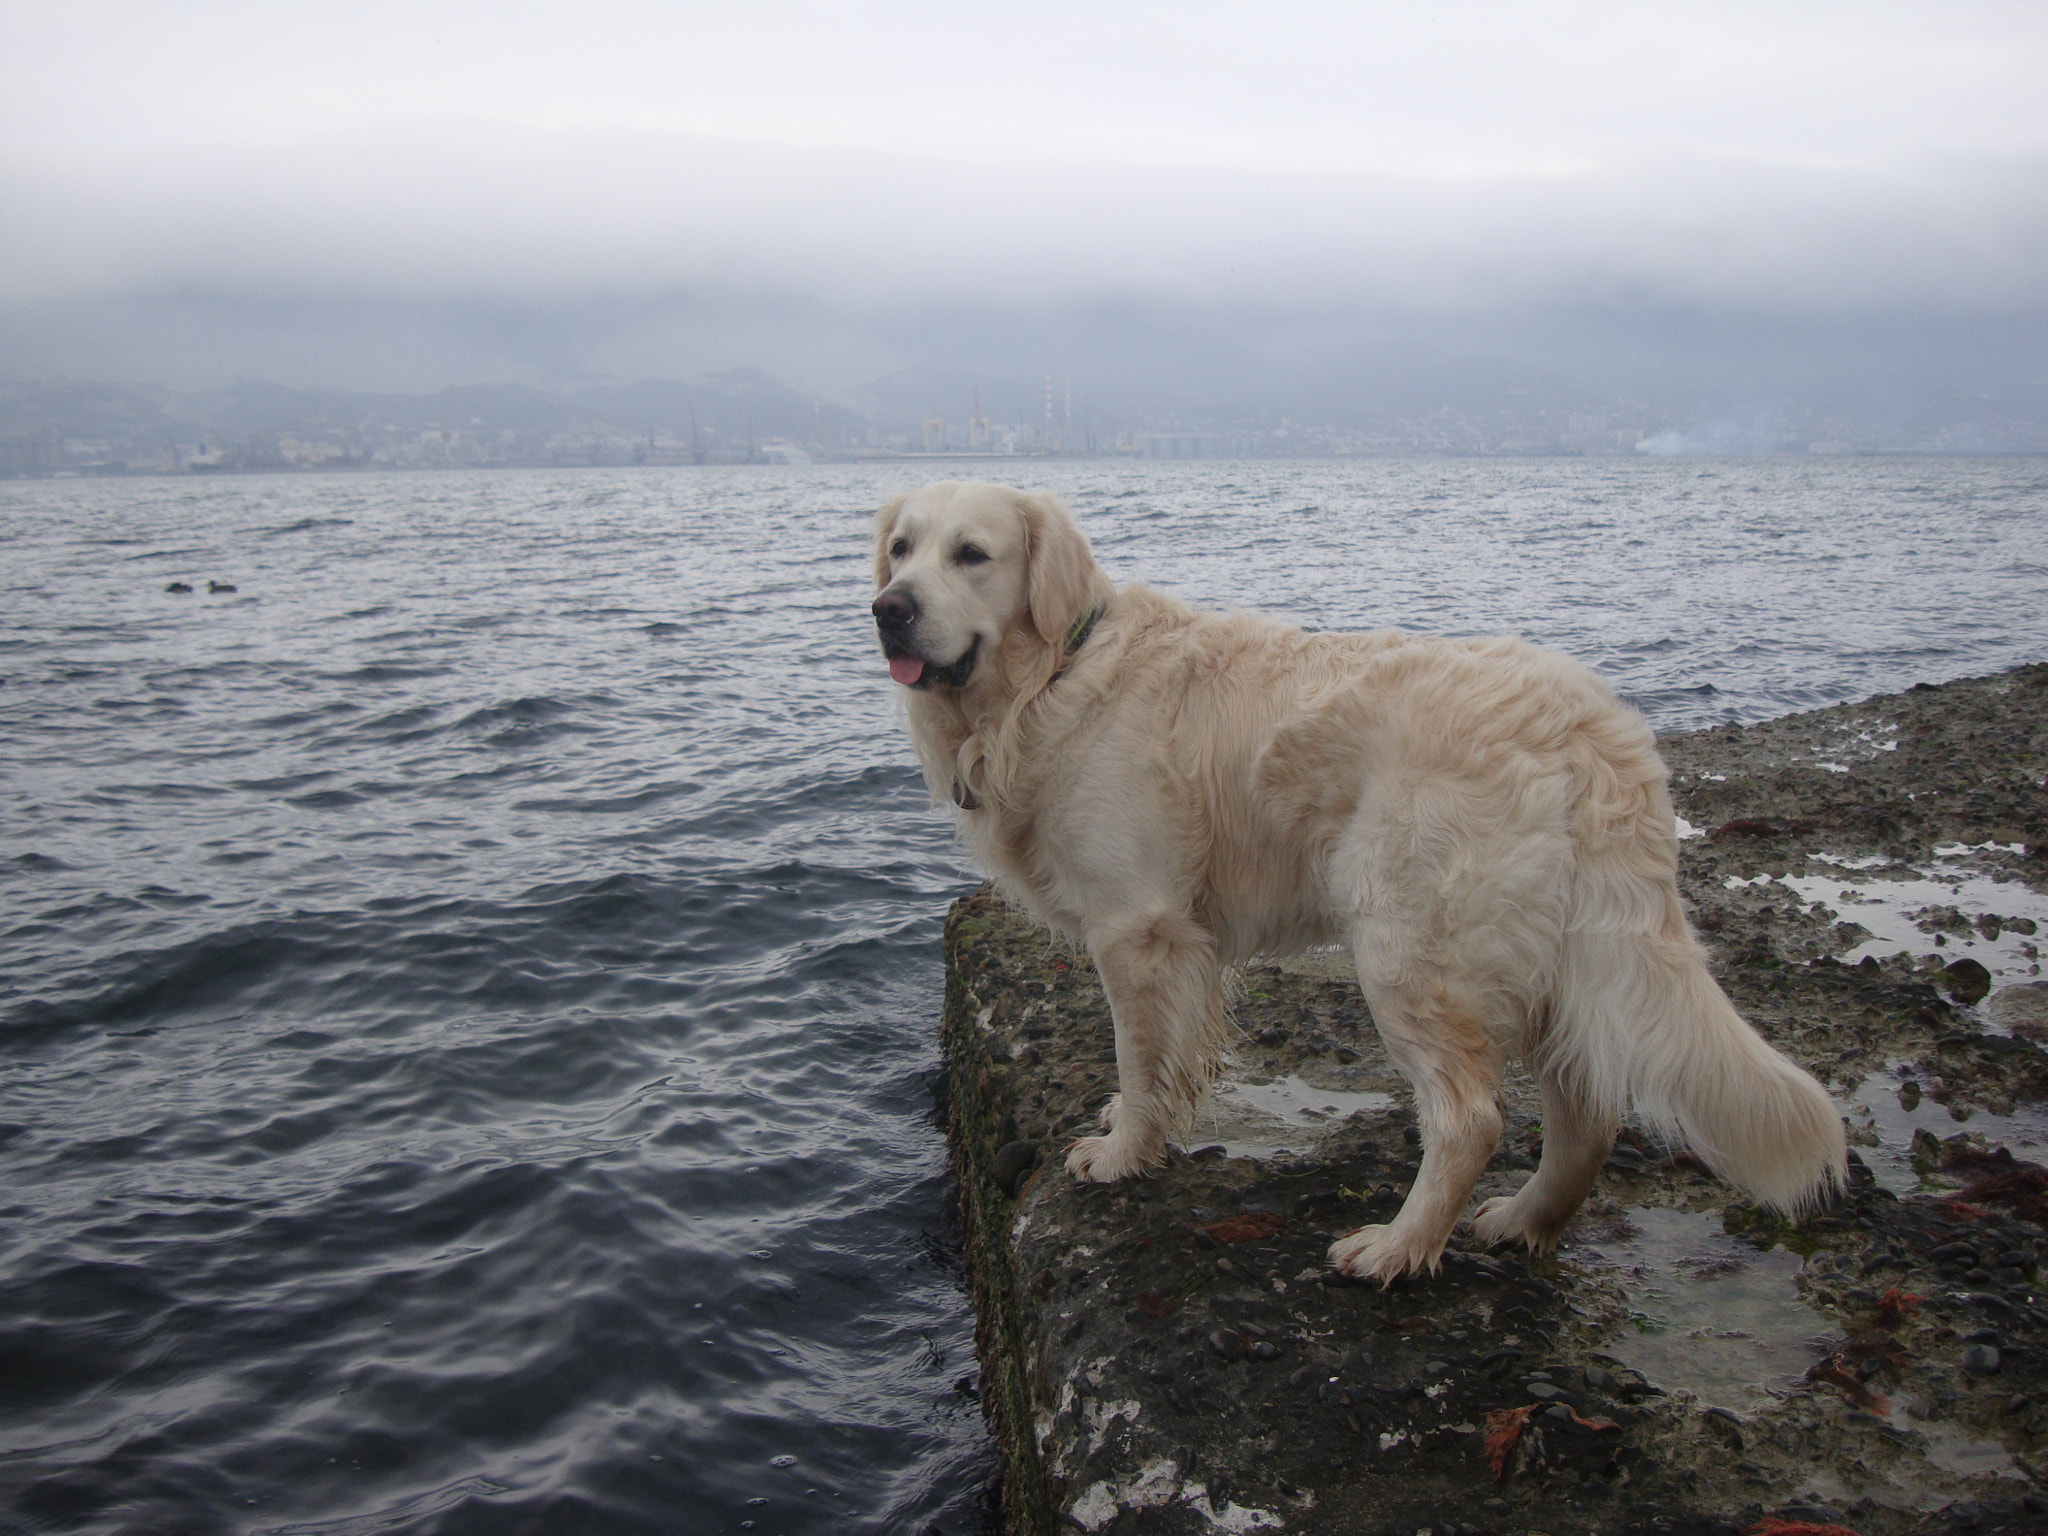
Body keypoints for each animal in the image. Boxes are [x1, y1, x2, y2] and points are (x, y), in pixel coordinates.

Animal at [872, 483, 1851, 1286]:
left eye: (972, 554)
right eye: (900, 548)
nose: (889, 609)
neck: (1051, 678)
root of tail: (1588, 726)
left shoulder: (1135, 927)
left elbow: (1141, 1056)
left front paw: (1121, 1152)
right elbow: (1170, 1057)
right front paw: (1133, 1126)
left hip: (1406, 945)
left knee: (1470, 1119)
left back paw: (1399, 1248)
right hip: (1546, 953)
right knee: (1587, 1117)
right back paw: (1525, 1220)